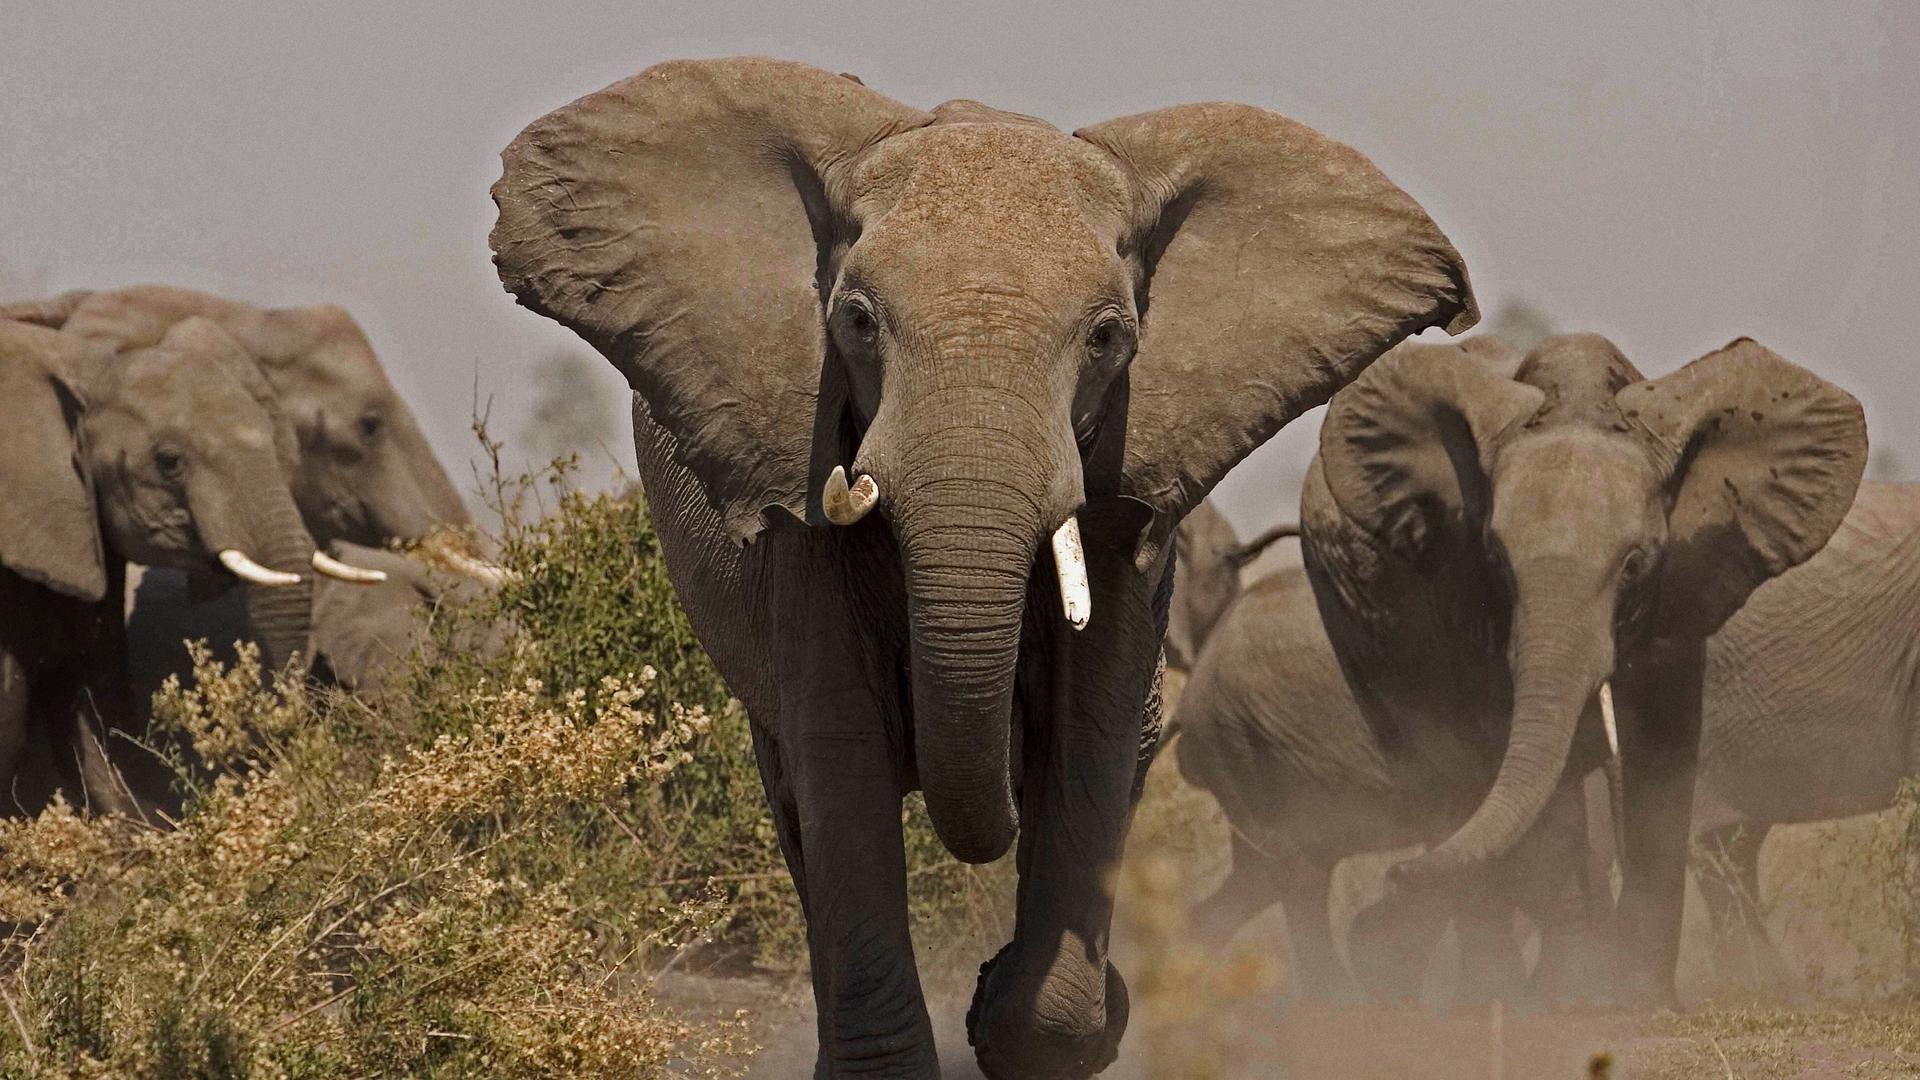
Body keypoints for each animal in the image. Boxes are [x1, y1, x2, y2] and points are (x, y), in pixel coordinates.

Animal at [488, 56, 1477, 1078]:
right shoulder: (802, 496)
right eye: (856, 322)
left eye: (1108, 338)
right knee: (794, 792)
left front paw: (1033, 1018)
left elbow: (1091, 734)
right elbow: (841, 753)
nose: (985, 975)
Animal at [1278, 331, 1866, 1007]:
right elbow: (1537, 787)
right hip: (1354, 623)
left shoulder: (1680, 590)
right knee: (1440, 776)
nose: (1391, 886)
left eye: (1635, 564)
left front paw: (1640, 999)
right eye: (1495, 560)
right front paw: (1569, 999)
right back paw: (1490, 989)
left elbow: (1662, 757)